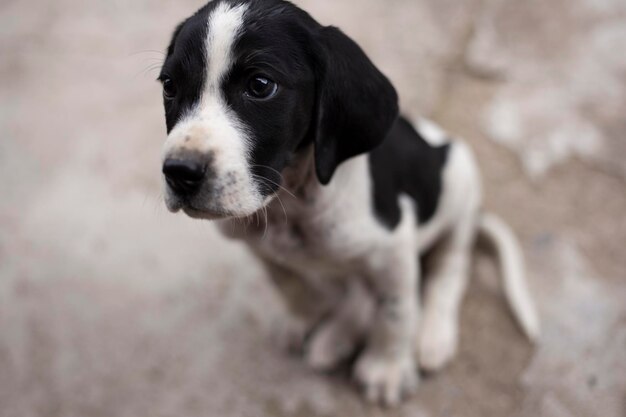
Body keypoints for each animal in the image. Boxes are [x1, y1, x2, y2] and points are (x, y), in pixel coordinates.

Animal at [156, 0, 536, 404]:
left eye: (260, 86)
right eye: (170, 85)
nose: (179, 173)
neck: (291, 206)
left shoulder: (393, 245)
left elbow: (395, 311)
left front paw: (387, 368)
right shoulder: (260, 248)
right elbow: (287, 283)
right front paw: (302, 318)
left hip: (461, 179)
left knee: (449, 267)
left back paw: (432, 334)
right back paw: (338, 335)